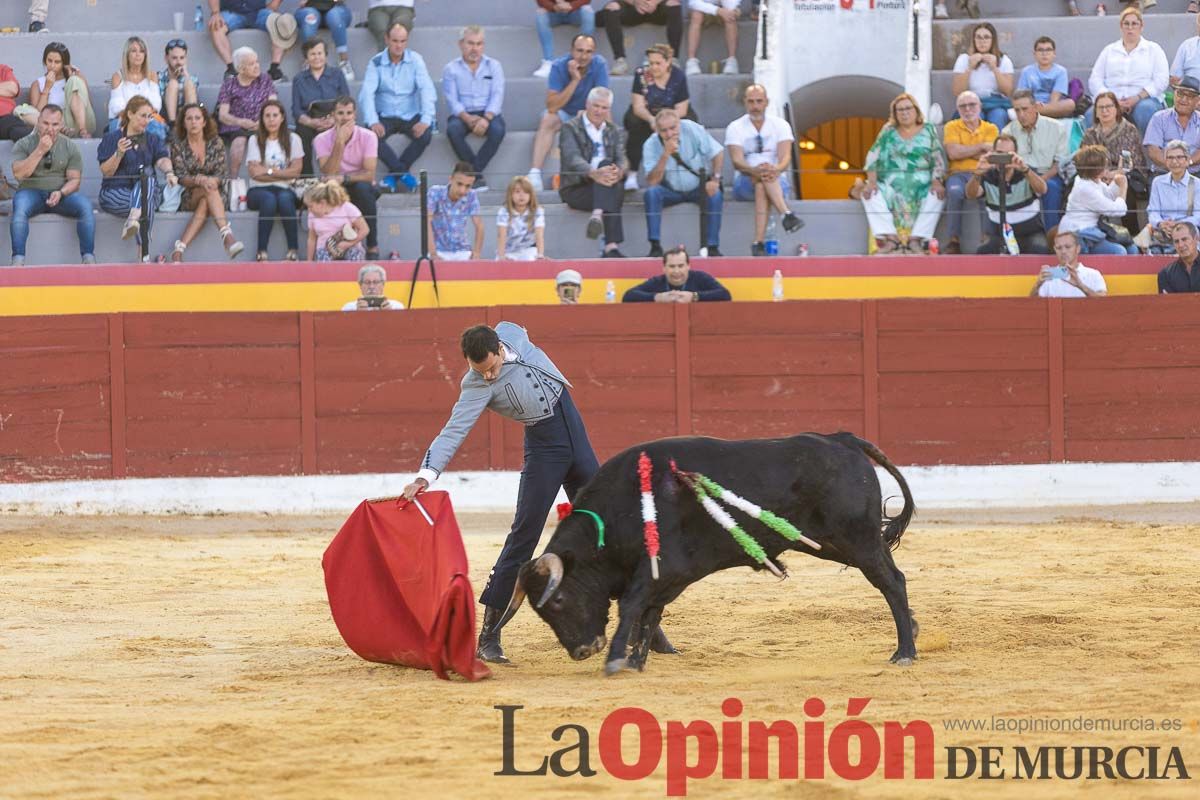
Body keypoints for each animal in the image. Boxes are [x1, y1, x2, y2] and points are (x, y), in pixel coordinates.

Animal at [496, 431, 916, 676]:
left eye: (558, 600)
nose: (583, 651)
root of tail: (841, 439)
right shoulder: (667, 577)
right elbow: (649, 614)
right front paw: (636, 660)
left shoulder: (662, 567)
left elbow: (632, 606)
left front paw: (616, 659)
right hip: (830, 542)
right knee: (891, 576)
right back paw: (911, 630)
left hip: (856, 537)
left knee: (892, 582)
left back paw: (905, 652)